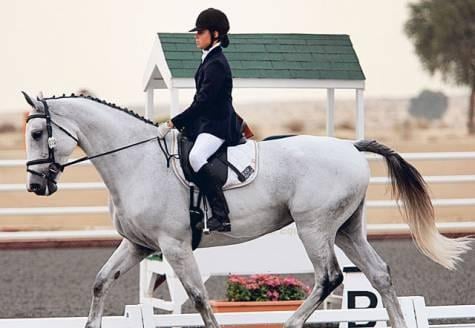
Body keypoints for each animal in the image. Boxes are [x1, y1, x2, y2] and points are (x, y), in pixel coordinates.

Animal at [23, 92, 472, 328]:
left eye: (39, 132)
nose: (35, 186)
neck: (137, 162)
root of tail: (349, 146)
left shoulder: (174, 246)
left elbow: (199, 298)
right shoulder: (138, 244)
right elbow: (101, 283)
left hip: (314, 228)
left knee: (329, 278)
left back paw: (290, 323)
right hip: (347, 228)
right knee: (378, 273)